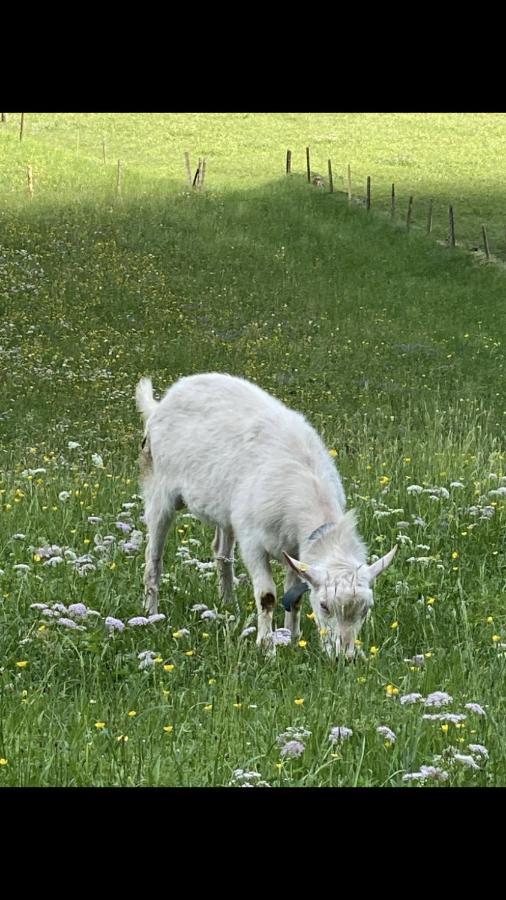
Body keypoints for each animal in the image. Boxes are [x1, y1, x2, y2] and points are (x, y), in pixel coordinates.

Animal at [136, 370, 398, 656]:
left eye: (366, 608)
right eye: (325, 606)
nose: (346, 658)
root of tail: (160, 404)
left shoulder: (296, 551)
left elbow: (295, 597)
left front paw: (292, 638)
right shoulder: (253, 542)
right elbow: (267, 596)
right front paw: (267, 646)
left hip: (227, 511)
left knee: (221, 551)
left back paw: (228, 604)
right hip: (160, 489)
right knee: (154, 556)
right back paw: (151, 613)